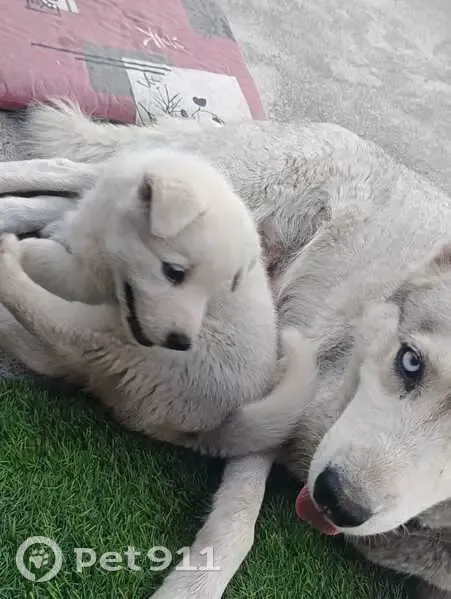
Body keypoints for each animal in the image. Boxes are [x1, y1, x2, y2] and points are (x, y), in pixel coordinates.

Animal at [1, 102, 451, 598]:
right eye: (410, 362)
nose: (337, 500)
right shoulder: (274, 412)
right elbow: (237, 528)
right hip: (221, 188)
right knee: (73, 170)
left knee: (73, 206)